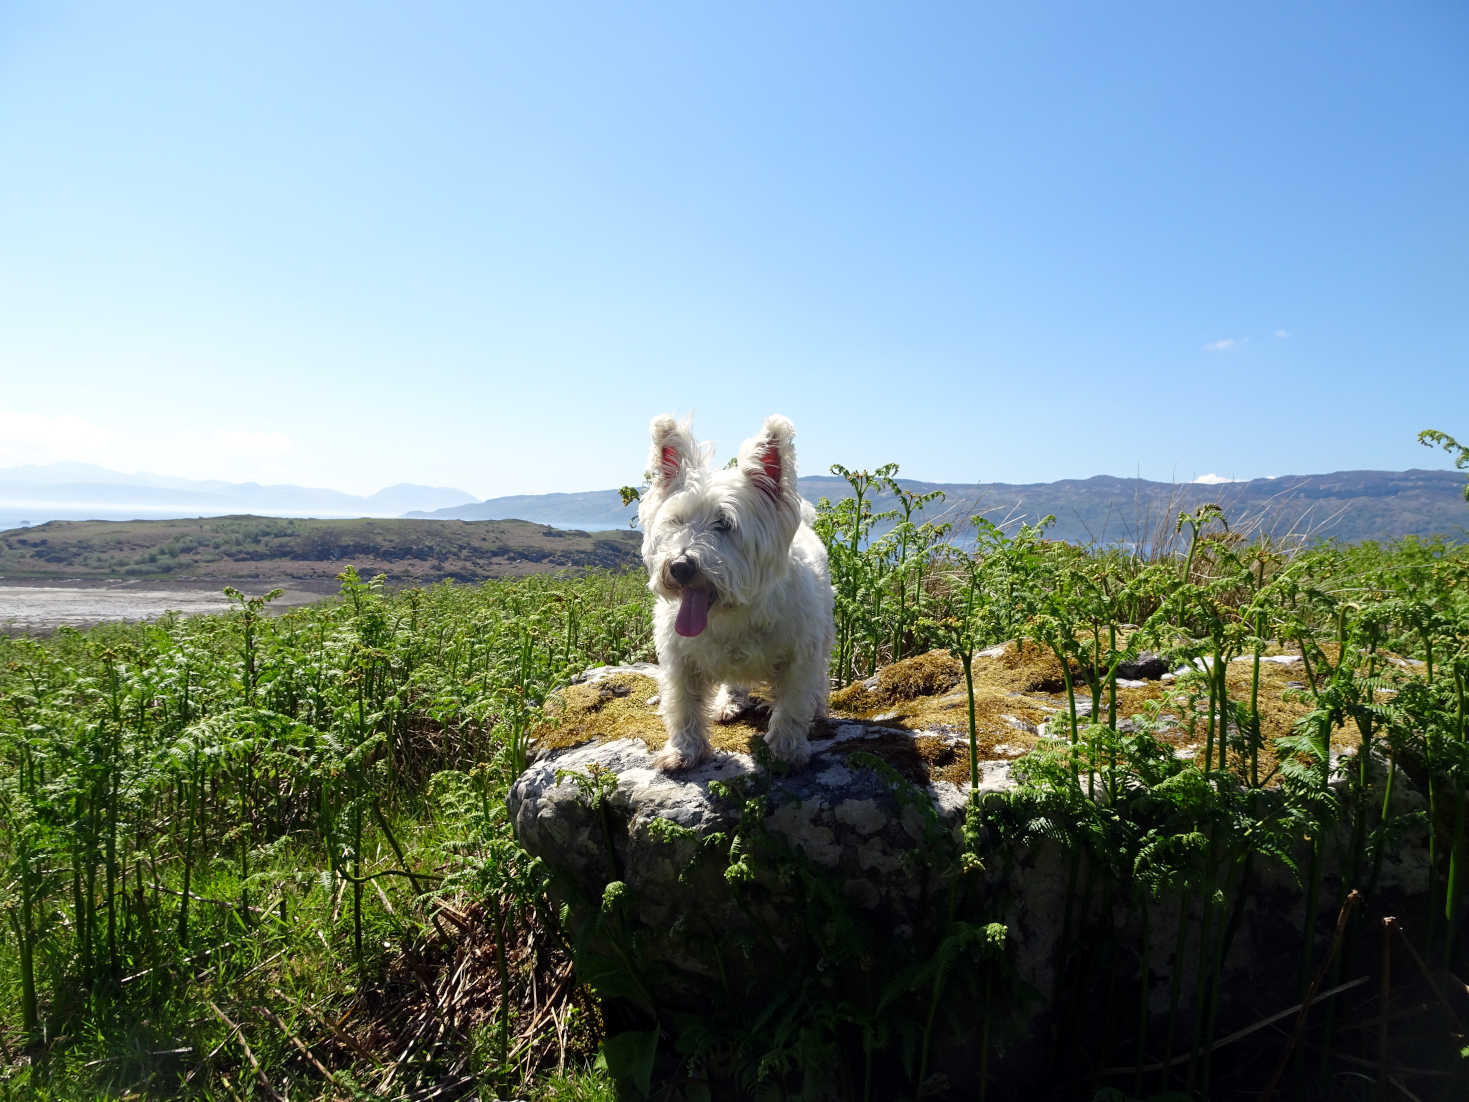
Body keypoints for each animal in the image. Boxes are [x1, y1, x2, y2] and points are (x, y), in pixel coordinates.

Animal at [637, 417, 834, 769]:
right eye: (677, 521)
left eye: (725, 523)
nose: (680, 566)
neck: (731, 614)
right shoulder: (680, 660)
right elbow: (683, 705)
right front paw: (683, 751)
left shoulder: (800, 656)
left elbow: (793, 704)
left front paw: (788, 749)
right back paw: (729, 702)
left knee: (820, 679)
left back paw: (819, 711)